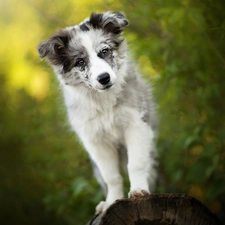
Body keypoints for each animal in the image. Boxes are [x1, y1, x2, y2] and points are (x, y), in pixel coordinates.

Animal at [37, 11, 157, 214]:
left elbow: (136, 164)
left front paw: (139, 190)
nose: (104, 78)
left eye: (104, 51)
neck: (104, 100)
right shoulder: (95, 140)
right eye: (80, 61)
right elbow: (111, 176)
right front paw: (112, 201)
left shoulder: (136, 124)